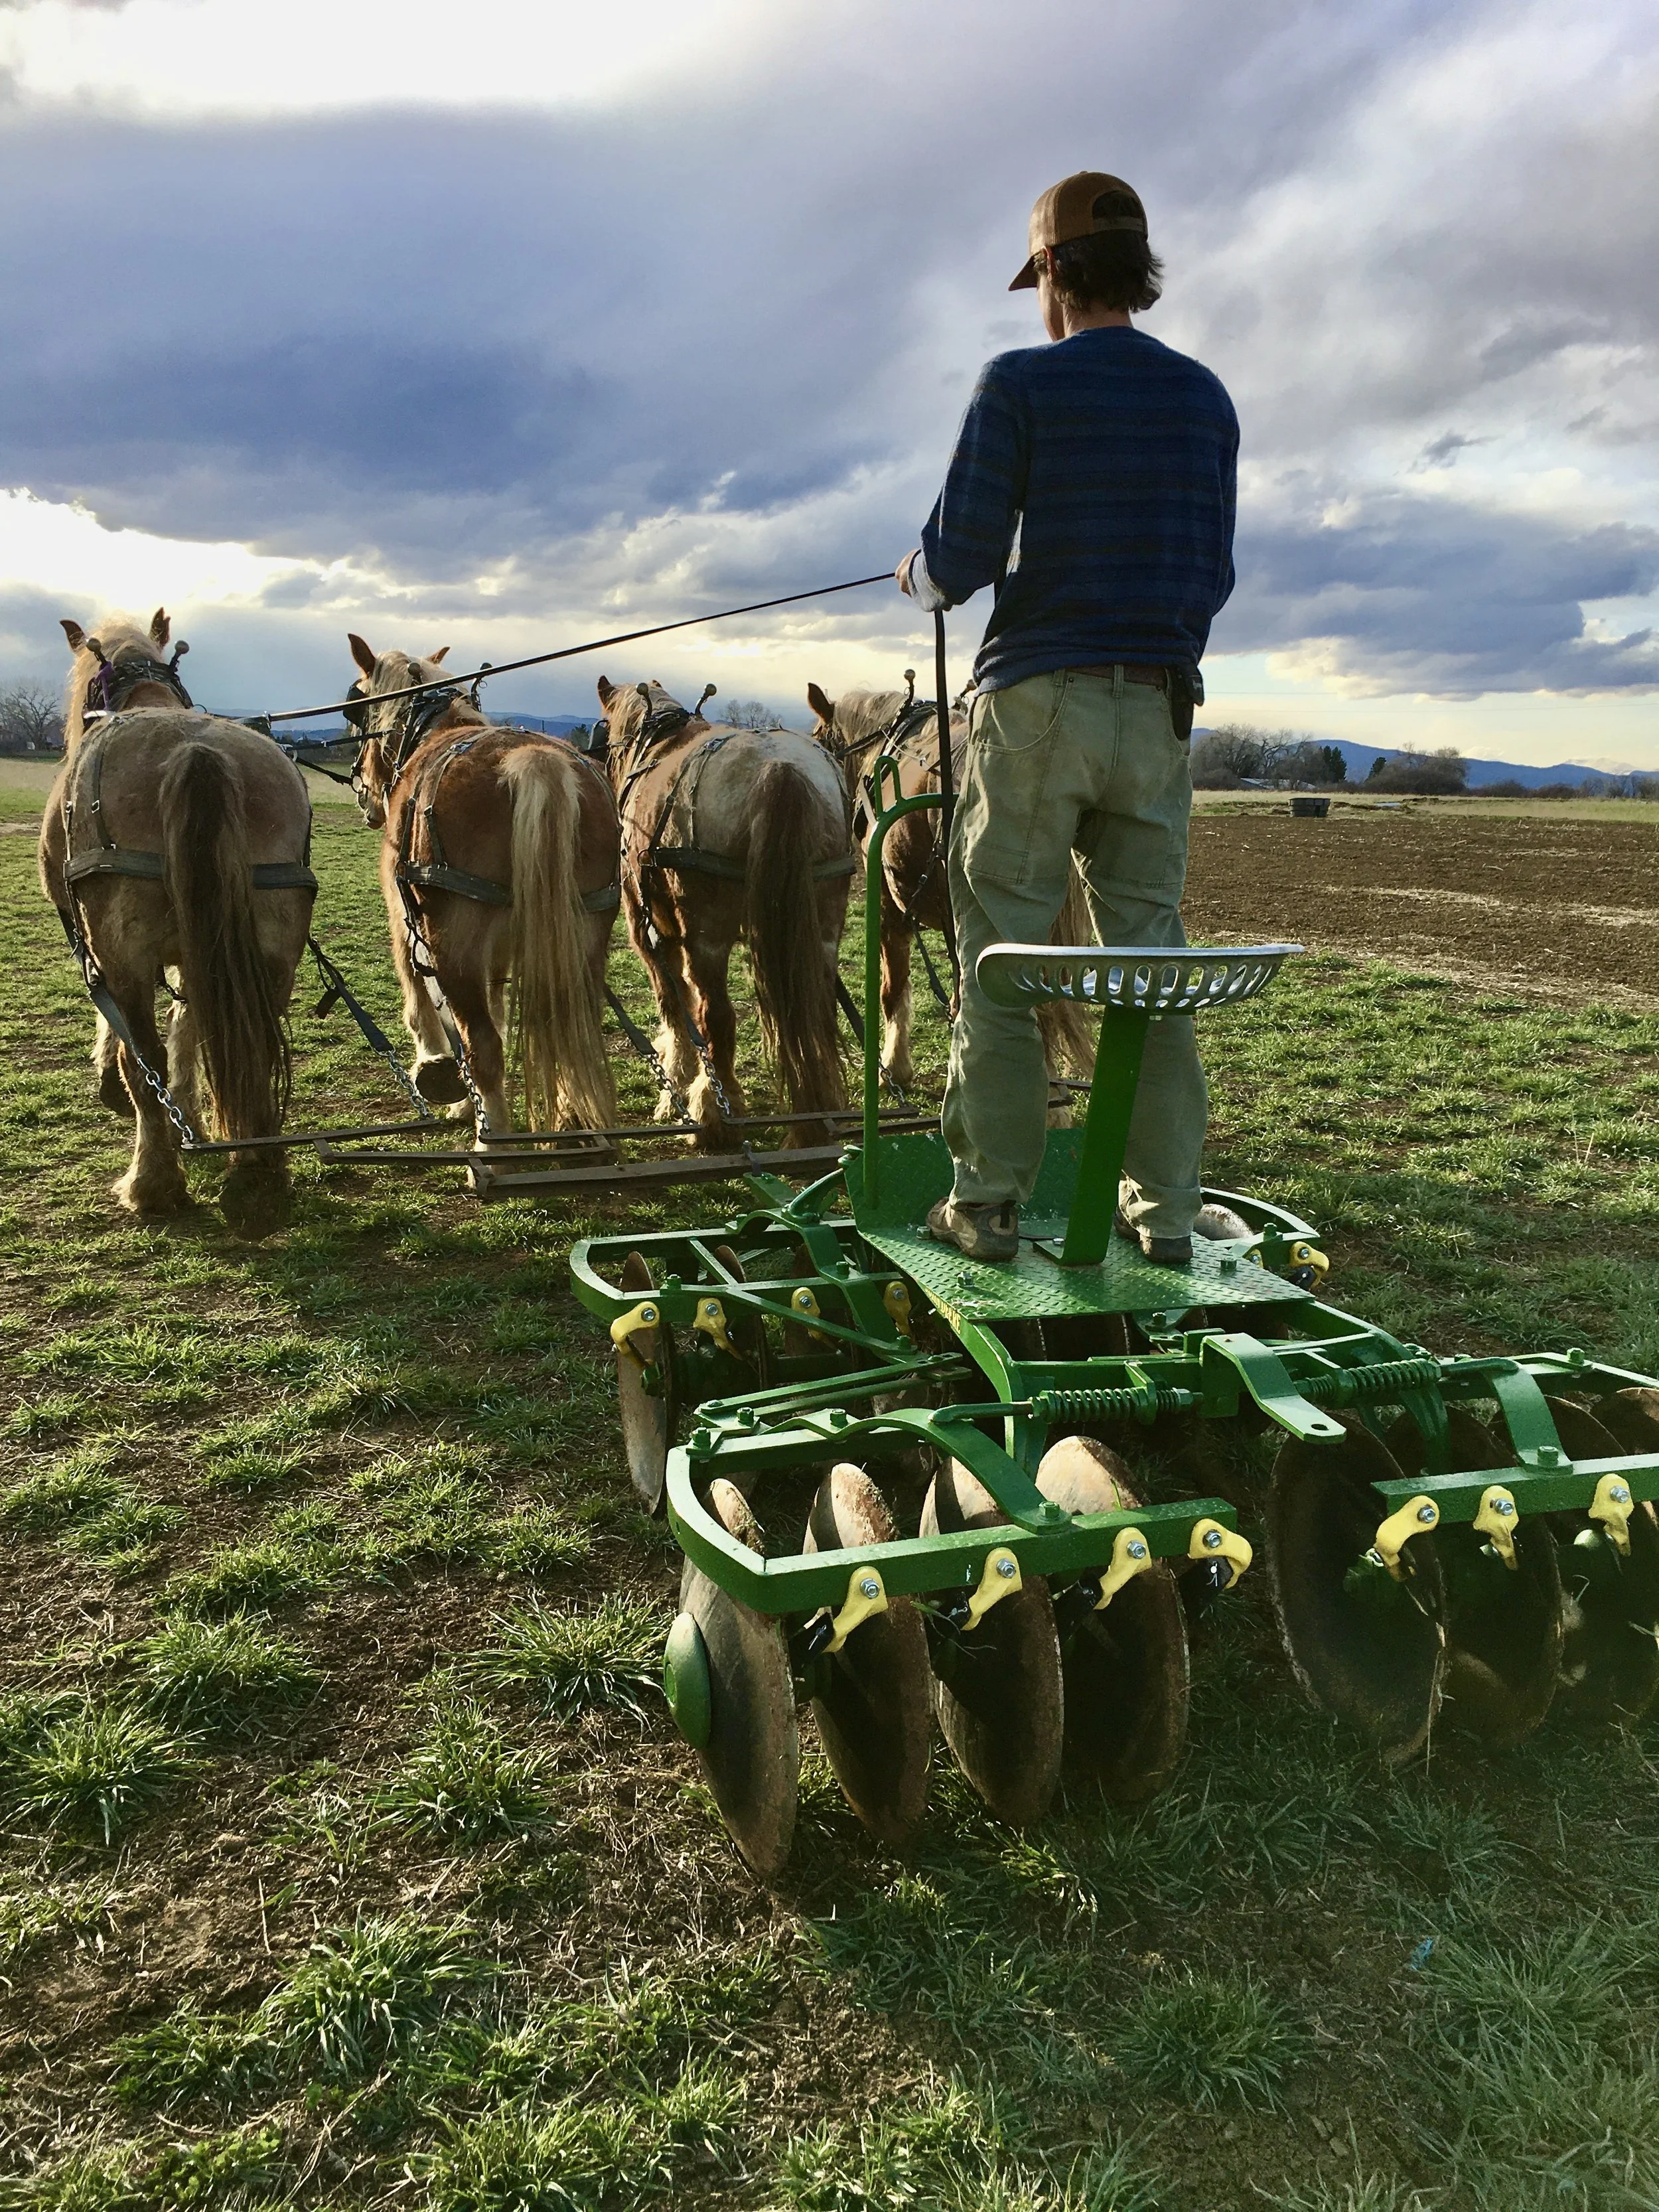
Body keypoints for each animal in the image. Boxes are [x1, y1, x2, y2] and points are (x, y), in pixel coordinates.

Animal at [38, 608, 316, 1237]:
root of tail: (197, 754)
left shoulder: (96, 941)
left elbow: (125, 1032)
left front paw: (113, 1084)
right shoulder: (199, 951)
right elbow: (188, 1026)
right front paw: (193, 1113)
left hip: (125, 952)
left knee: (143, 1061)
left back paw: (152, 1182)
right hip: (271, 952)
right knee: (250, 1047)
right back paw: (256, 1174)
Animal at [348, 636, 620, 1139]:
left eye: (356, 705)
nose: (365, 795)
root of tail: (533, 764)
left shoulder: (406, 922)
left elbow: (423, 1005)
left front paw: (441, 1077)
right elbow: (497, 1007)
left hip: (454, 939)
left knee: (482, 1045)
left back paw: (491, 1137)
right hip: (585, 933)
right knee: (571, 1025)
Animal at [594, 676, 853, 1145]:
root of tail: (780, 769)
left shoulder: (646, 927)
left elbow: (673, 1002)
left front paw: (676, 1084)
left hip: (706, 931)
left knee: (715, 1014)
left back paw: (715, 1113)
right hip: (823, 923)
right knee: (816, 1011)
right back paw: (816, 1117)